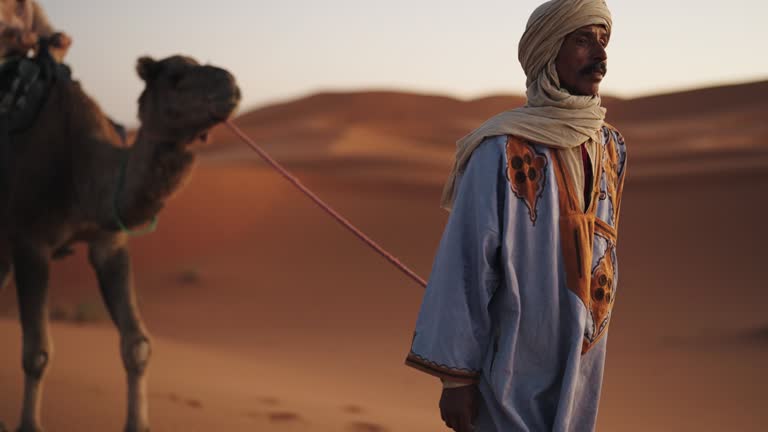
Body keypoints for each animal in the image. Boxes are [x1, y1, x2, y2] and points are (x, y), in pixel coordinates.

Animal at [0, 51, 240, 432]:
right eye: (175, 76)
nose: (230, 85)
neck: (81, 171)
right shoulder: (30, 240)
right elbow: (36, 352)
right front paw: (29, 425)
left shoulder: (109, 243)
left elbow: (137, 344)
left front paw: (137, 424)